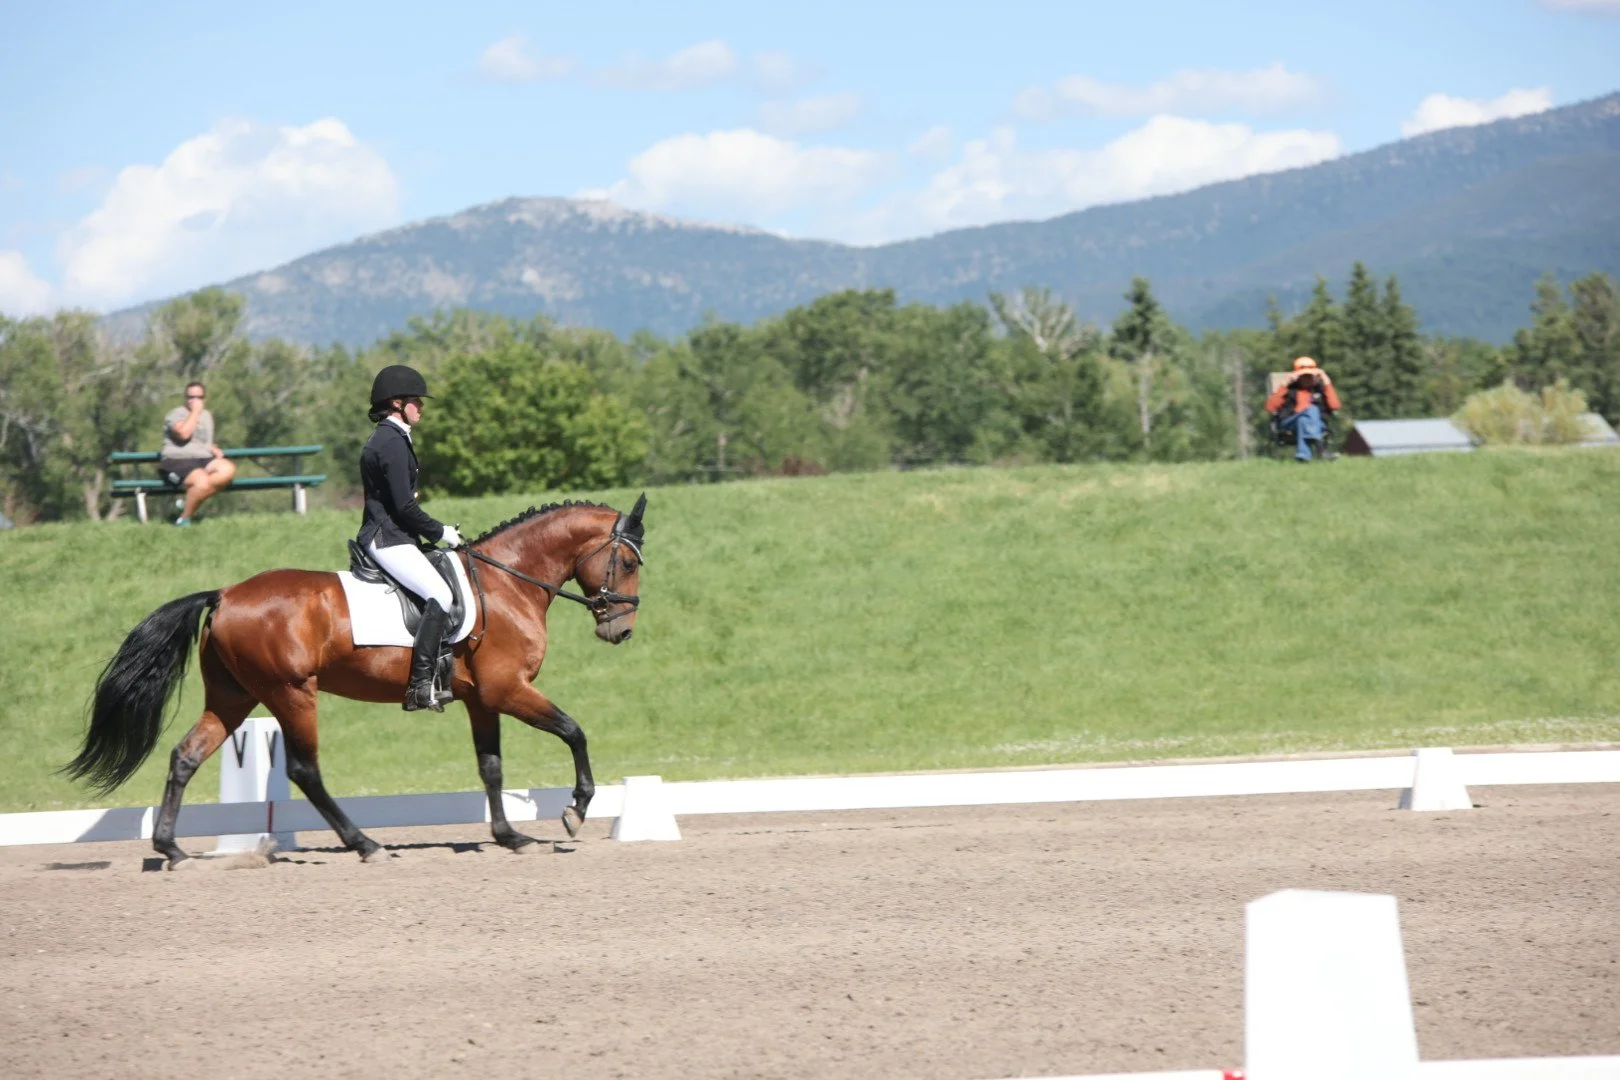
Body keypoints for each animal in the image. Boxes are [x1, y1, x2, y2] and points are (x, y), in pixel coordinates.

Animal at [64, 495, 646, 868]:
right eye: (627, 562)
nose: (620, 629)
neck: (507, 582)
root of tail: (225, 594)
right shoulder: (509, 690)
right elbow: (573, 731)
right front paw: (575, 811)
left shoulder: (483, 700)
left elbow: (491, 768)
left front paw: (509, 836)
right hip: (292, 693)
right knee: (304, 770)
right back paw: (364, 843)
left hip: (234, 696)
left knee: (186, 755)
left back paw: (172, 850)